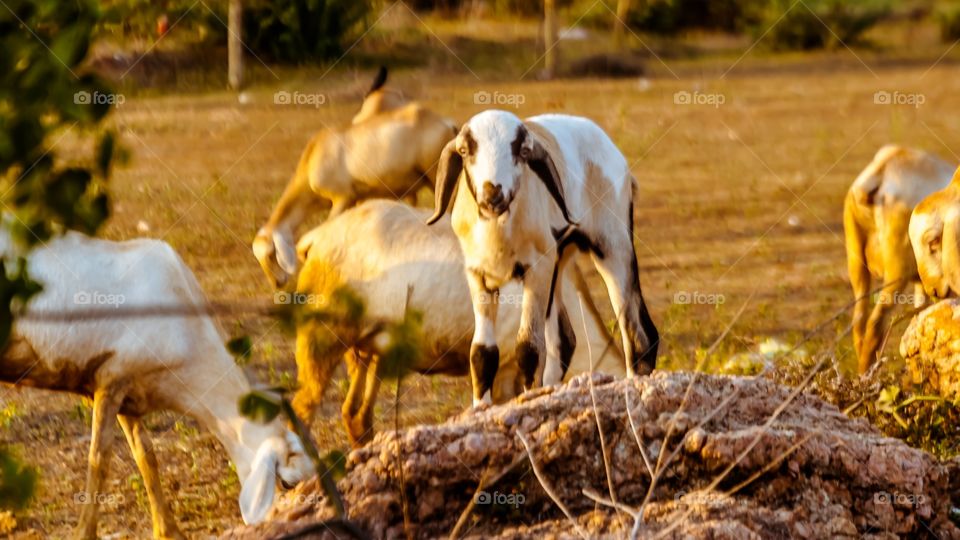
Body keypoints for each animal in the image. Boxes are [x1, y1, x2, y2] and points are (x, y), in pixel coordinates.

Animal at [0, 231, 312, 539]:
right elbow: (99, 461)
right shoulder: (111, 380)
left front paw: (168, 531)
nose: (290, 523)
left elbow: (146, 457)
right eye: (286, 483)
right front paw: (83, 534)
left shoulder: (131, 392)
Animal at [290, 200, 624, 447]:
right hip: (322, 343)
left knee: (355, 415)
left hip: (370, 353)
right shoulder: (504, 372)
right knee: (302, 409)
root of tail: (316, 240)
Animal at [427, 110, 659, 405]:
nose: (493, 194)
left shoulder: (536, 270)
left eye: (523, 151)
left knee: (638, 334)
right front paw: (481, 407)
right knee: (565, 339)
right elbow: (482, 353)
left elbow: (528, 346)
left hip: (613, 244)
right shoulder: (478, 274)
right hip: (560, 262)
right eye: (465, 151)